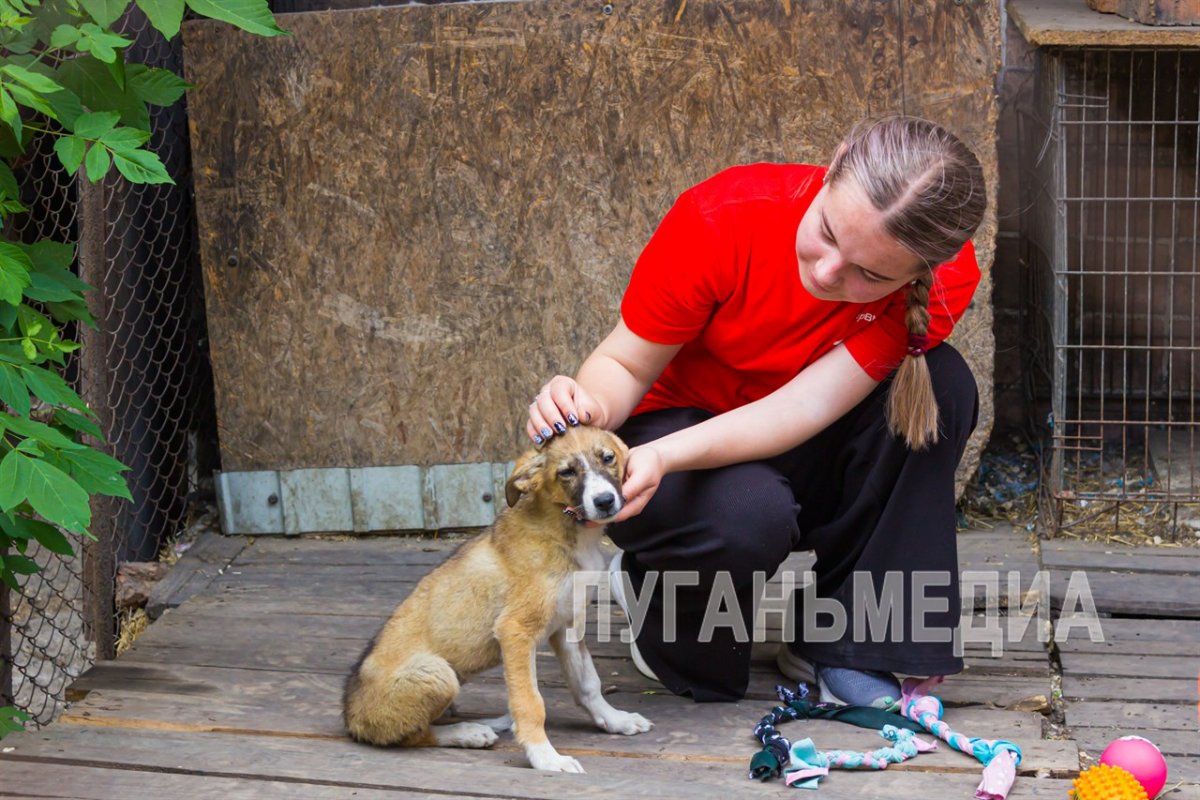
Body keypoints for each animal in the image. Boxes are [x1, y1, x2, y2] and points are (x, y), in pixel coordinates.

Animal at [343, 429, 652, 772]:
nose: (604, 501)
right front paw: (544, 756)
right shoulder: (515, 631)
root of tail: (351, 716)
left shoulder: (567, 626)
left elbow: (588, 683)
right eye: (567, 472)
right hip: (437, 674)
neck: (567, 529)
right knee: (412, 736)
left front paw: (615, 720)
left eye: (608, 457)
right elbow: (530, 702)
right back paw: (469, 732)